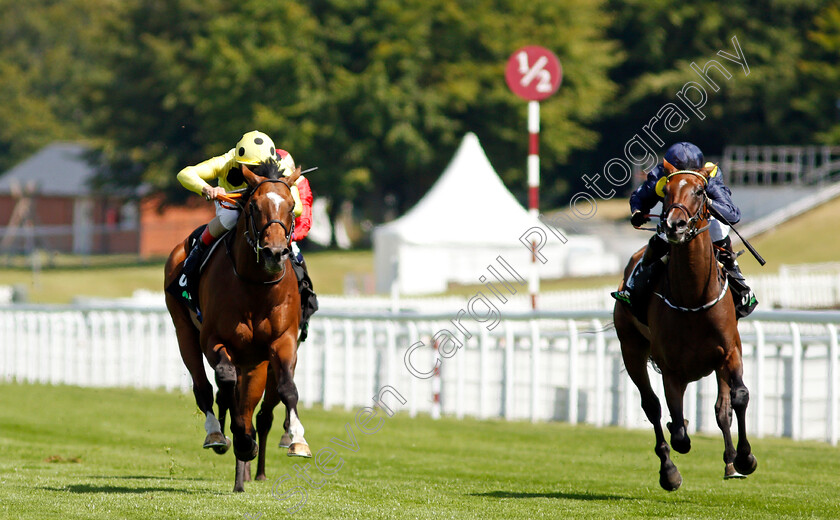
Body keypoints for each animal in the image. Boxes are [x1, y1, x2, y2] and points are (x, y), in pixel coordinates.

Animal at [162, 160, 310, 494]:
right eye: (253, 206)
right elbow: (225, 384)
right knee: (205, 388)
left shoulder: (281, 342)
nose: (274, 253)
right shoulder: (214, 340)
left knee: (251, 405)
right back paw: (217, 435)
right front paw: (241, 441)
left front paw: (297, 440)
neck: (255, 287)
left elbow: (287, 389)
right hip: (184, 332)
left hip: (254, 362)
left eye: (291, 206)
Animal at [612, 161, 756, 492]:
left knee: (721, 409)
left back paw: (730, 462)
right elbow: (677, 431)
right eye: (665, 189)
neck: (693, 297)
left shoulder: (729, 351)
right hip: (631, 347)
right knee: (652, 407)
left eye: (701, 191)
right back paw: (669, 471)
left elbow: (738, 398)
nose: (674, 225)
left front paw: (744, 458)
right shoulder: (671, 368)